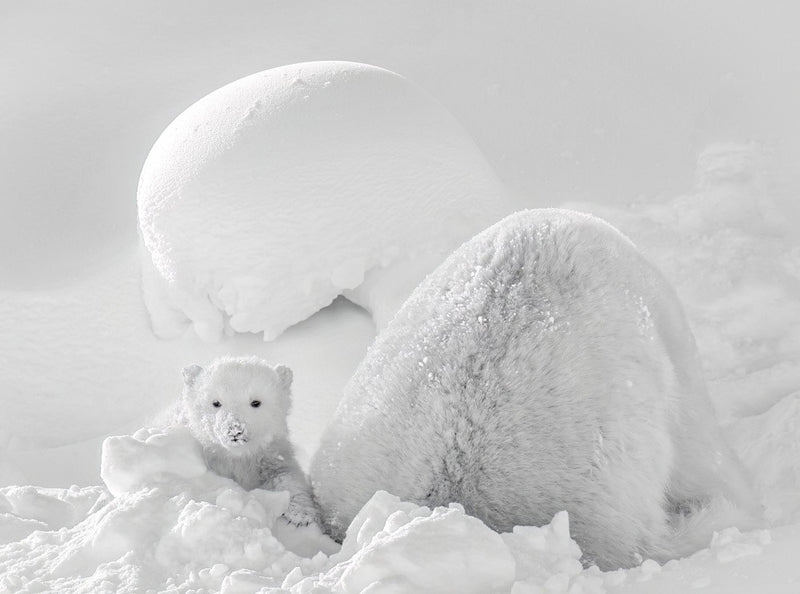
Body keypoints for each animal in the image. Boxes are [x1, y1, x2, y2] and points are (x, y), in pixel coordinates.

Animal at [180, 356, 318, 526]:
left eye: (256, 402)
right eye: (216, 402)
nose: (235, 430)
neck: (238, 456)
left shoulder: (272, 453)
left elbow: (286, 474)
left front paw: (301, 514)